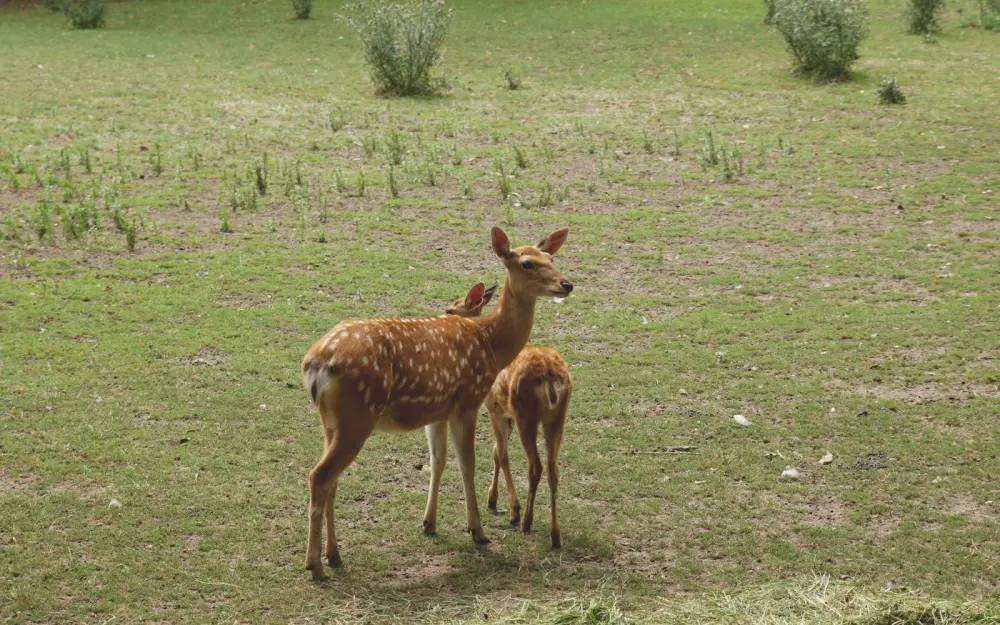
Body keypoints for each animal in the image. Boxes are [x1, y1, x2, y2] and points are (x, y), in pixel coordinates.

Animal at [445, 282, 572, 549]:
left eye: (451, 309)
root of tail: (551, 377)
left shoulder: (495, 409)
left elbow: (502, 455)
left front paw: (512, 509)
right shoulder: (507, 415)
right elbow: (496, 452)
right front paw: (492, 500)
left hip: (527, 414)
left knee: (536, 465)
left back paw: (526, 521)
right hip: (557, 416)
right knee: (553, 468)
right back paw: (555, 535)